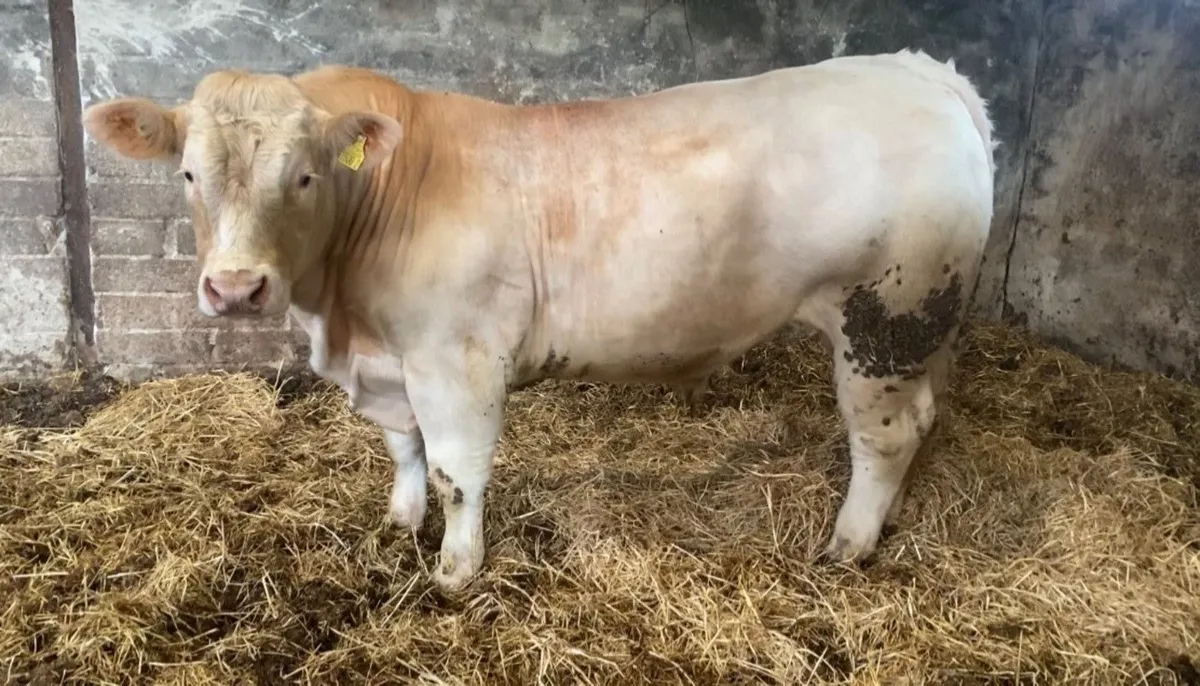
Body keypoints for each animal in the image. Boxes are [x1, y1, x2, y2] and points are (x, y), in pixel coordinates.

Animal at [82, 48, 995, 591]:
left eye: (304, 176)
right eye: (189, 173)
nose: (236, 288)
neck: (340, 315)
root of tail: (919, 70)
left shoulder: (457, 358)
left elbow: (456, 468)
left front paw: (455, 570)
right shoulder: (390, 364)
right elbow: (404, 448)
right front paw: (401, 520)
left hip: (886, 316)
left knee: (885, 435)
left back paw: (850, 543)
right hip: (926, 321)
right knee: (925, 417)